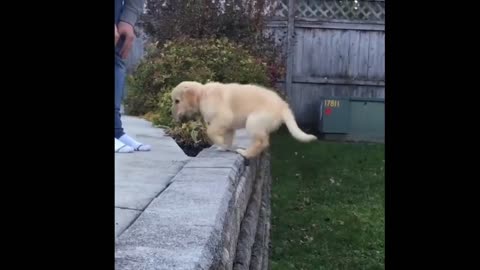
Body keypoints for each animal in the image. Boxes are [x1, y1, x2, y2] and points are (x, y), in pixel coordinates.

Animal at [171, 81, 316, 159]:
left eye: (177, 101)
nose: (172, 115)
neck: (202, 95)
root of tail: (283, 106)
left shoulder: (223, 117)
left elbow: (210, 131)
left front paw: (219, 142)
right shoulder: (228, 127)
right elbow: (228, 138)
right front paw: (224, 147)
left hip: (253, 121)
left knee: (261, 142)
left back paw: (246, 153)